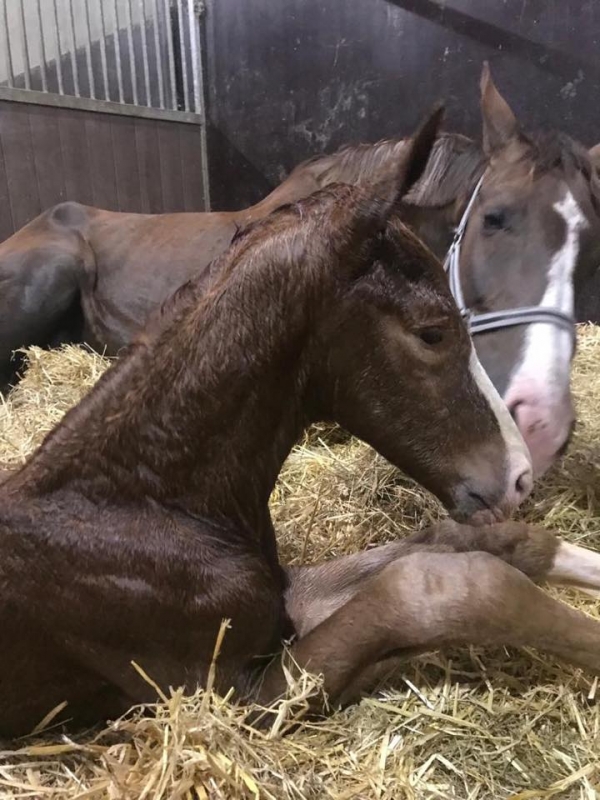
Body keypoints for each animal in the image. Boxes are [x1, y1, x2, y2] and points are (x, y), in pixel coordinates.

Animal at [3, 108, 600, 744]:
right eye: (432, 332)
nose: (521, 473)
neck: (140, 503)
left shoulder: (287, 598)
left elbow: (474, 542)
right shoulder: (222, 699)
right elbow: (437, 586)